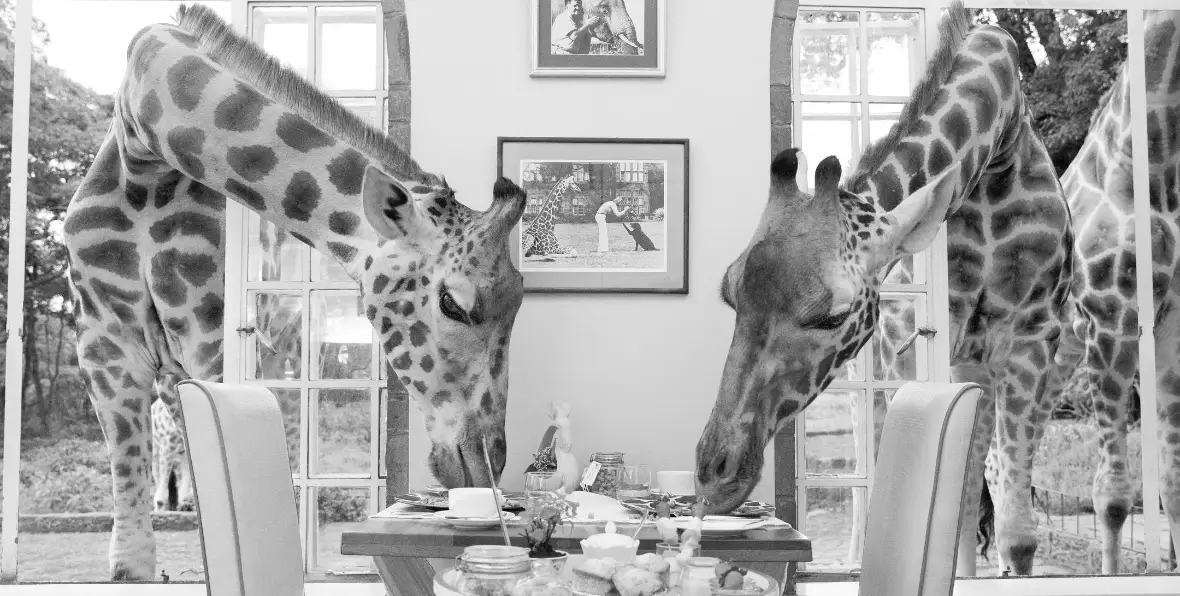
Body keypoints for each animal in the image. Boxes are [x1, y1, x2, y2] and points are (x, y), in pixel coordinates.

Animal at [63, 5, 528, 580]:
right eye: (452, 304)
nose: (482, 467)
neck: (143, 151)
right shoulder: (105, 348)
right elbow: (131, 560)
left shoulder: (214, 340)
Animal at [696, 1, 1073, 577]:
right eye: (730, 294)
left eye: (831, 315)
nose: (715, 474)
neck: (997, 150)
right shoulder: (906, 343)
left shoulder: (1033, 334)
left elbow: (1014, 532)